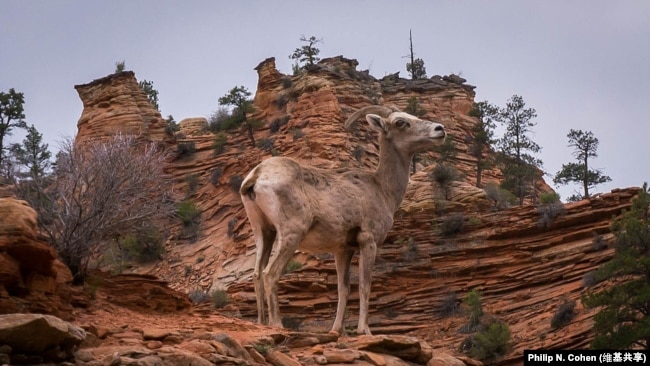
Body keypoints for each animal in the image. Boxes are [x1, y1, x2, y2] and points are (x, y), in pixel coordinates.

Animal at [238, 103, 446, 334]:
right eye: (400, 122)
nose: (440, 129)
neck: (382, 189)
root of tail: (257, 176)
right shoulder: (368, 242)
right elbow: (364, 286)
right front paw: (364, 331)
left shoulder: (342, 250)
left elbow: (343, 289)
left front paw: (337, 330)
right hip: (291, 234)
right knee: (270, 274)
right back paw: (277, 324)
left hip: (264, 232)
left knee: (257, 274)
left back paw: (261, 322)